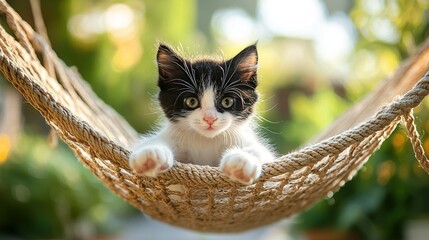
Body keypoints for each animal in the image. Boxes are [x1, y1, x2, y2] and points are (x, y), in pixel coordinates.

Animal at [128, 44, 274, 185]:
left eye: (227, 101)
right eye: (191, 101)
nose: (210, 119)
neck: (205, 141)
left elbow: (260, 151)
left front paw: (242, 160)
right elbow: (153, 141)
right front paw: (150, 154)